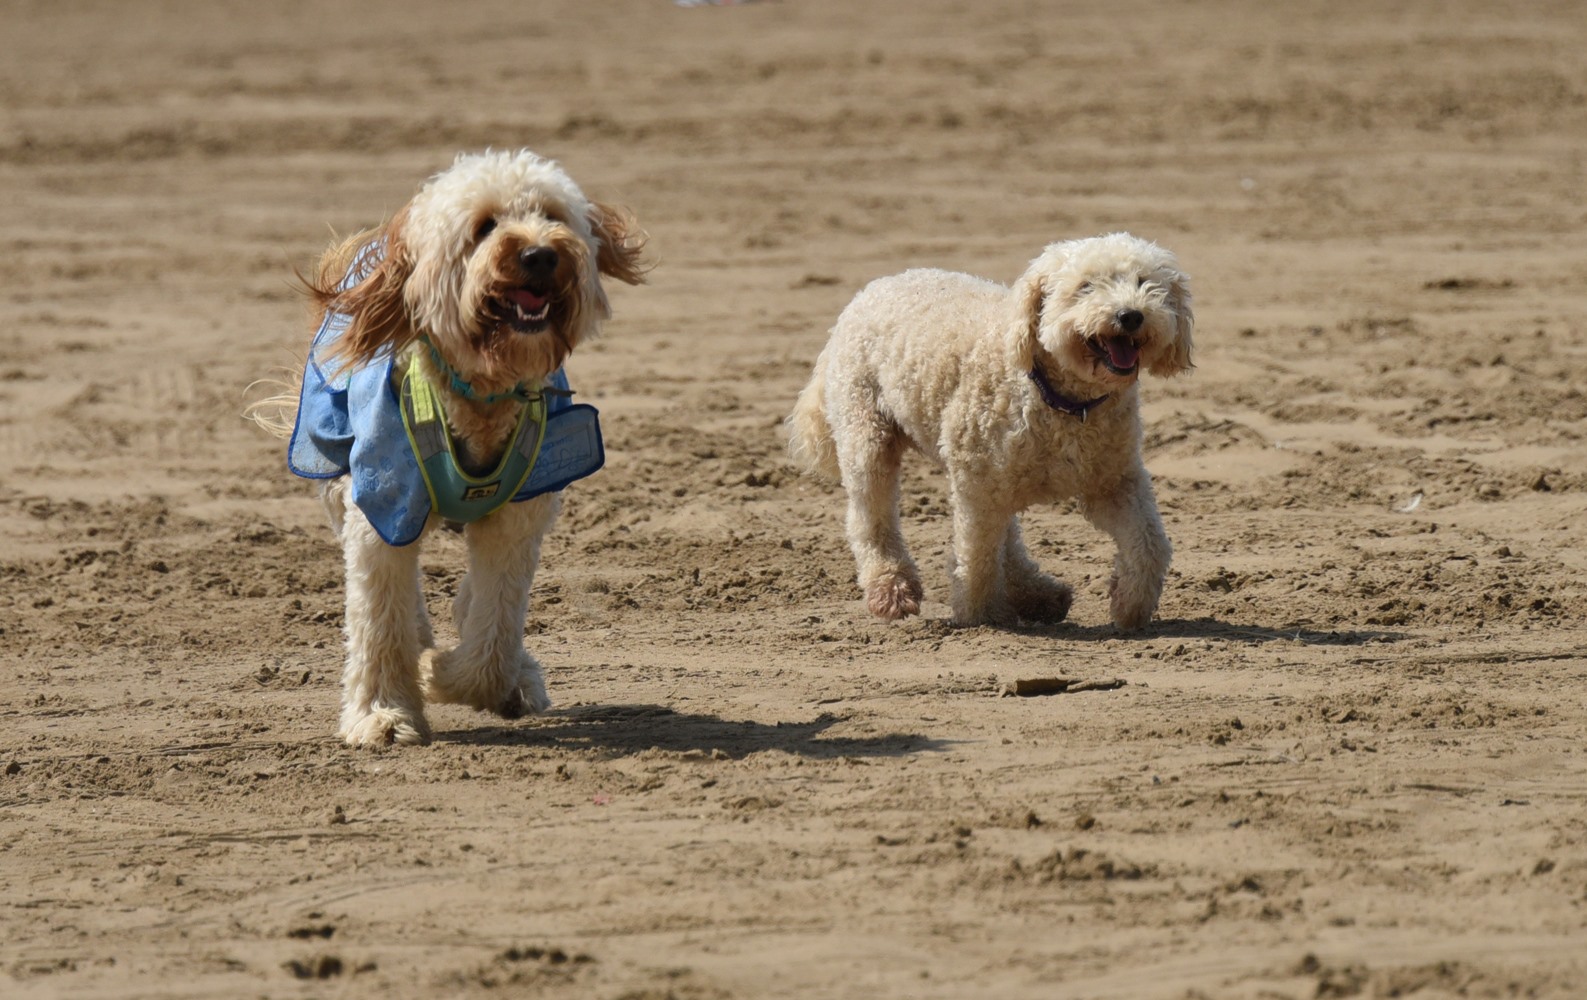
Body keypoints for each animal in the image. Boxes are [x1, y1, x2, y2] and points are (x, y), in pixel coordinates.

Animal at [252, 146, 644, 746]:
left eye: (552, 215)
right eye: (483, 227)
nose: (539, 254)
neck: (479, 392)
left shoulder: (517, 519)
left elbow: (494, 629)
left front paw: (448, 674)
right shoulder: (383, 505)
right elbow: (379, 617)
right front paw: (385, 712)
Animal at [787, 231, 1193, 631]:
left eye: (1144, 283)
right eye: (1086, 287)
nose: (1130, 315)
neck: (1062, 402)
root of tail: (871, 289)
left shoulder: (1114, 481)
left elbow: (1150, 544)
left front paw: (1130, 605)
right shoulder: (977, 486)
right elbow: (977, 553)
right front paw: (981, 615)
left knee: (1007, 535)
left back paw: (1037, 594)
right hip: (867, 434)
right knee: (870, 517)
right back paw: (891, 587)